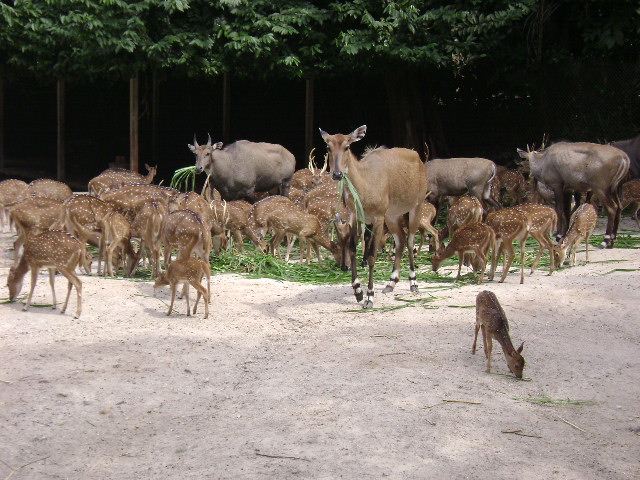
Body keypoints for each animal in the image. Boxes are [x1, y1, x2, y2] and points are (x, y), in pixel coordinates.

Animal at [320, 125, 428, 308]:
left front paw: (369, 297)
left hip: (416, 205)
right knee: (400, 240)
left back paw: (413, 282)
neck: (366, 185)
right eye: (328, 147)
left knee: (410, 240)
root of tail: (418, 158)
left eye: (347, 146)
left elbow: (371, 256)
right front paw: (358, 291)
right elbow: (352, 249)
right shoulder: (355, 216)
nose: (337, 174)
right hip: (391, 215)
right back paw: (391, 282)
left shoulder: (377, 218)